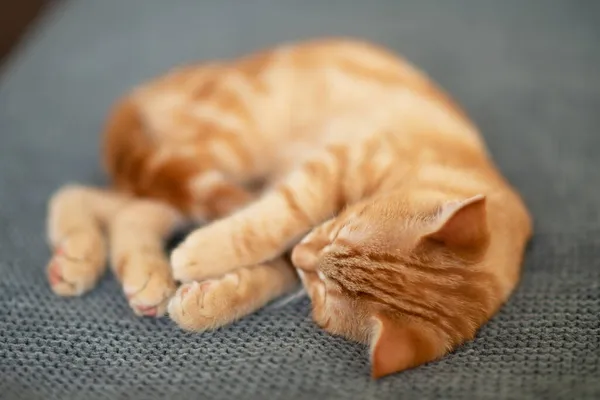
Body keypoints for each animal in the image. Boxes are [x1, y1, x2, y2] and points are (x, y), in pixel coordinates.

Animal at [49, 39, 532, 380]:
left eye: (321, 288)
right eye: (339, 229)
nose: (303, 253)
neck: (437, 164)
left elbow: (266, 275)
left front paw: (210, 300)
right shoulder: (332, 165)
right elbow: (277, 218)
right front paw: (206, 253)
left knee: (118, 206)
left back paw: (106, 265)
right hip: (226, 151)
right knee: (111, 197)